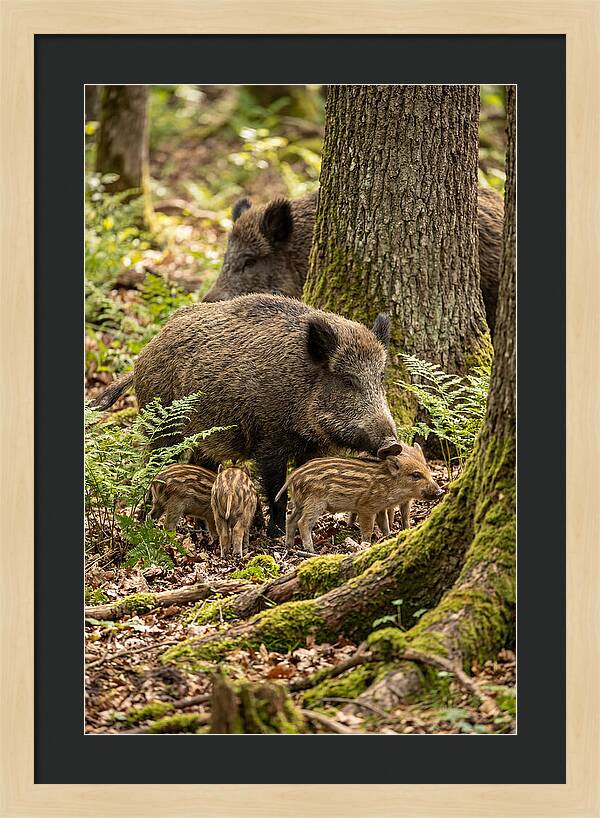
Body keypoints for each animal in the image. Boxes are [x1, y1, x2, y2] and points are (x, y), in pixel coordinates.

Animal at [90, 294, 400, 537]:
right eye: (347, 380)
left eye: (380, 377)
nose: (392, 445)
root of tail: (144, 352)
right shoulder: (269, 440)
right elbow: (276, 488)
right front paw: (275, 534)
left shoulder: (313, 448)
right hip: (163, 425)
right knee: (153, 465)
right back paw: (143, 520)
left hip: (204, 434)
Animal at [276, 445, 443, 552]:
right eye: (415, 475)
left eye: (427, 470)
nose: (440, 492)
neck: (388, 483)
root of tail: (293, 476)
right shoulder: (366, 508)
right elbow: (368, 529)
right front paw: (366, 544)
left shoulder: (380, 508)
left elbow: (384, 524)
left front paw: (388, 537)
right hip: (315, 502)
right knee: (303, 522)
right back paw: (311, 550)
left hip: (300, 502)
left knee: (290, 519)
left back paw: (289, 546)